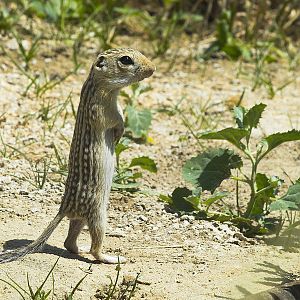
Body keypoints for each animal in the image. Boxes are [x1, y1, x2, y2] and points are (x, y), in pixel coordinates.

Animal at [0, 47, 155, 264]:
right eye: (126, 60)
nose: (153, 68)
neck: (101, 85)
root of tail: (64, 208)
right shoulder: (104, 110)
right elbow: (117, 121)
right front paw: (119, 133)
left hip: (81, 218)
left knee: (69, 242)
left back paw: (79, 248)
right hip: (98, 215)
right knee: (94, 248)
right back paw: (111, 258)